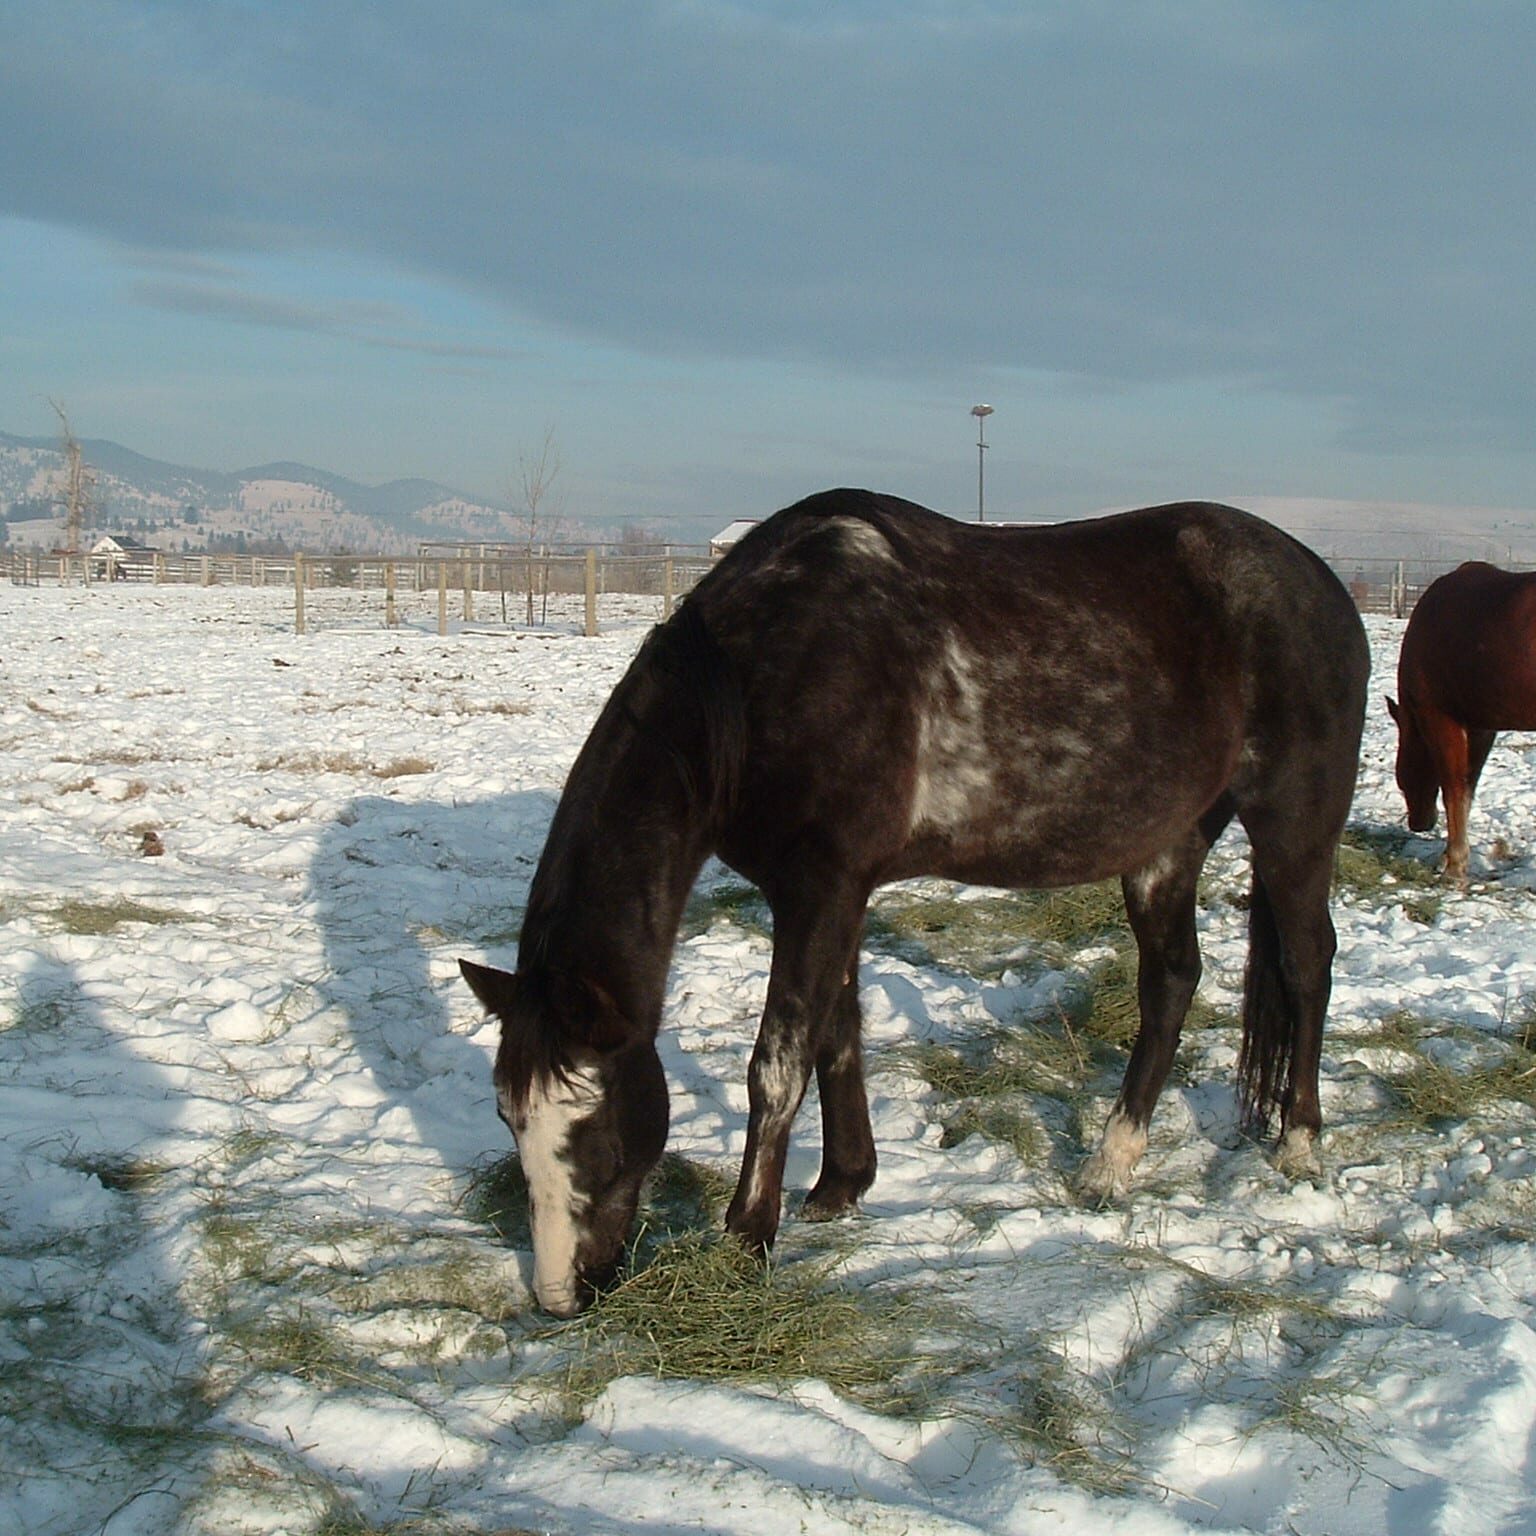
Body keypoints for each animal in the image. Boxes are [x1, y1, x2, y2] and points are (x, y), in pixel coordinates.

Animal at [1388, 559, 1536, 884]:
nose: (1418, 823)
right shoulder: (1481, 727)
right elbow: (1468, 788)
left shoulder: (1440, 718)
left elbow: (1454, 789)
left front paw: (1454, 864)